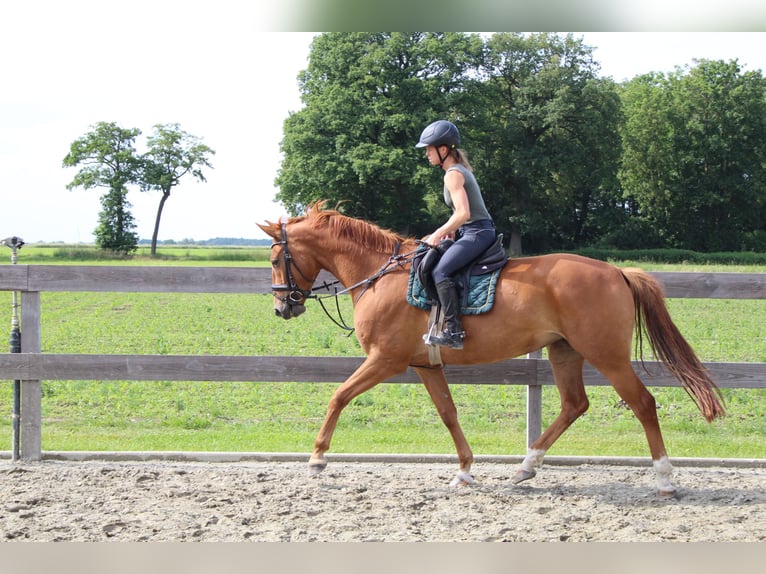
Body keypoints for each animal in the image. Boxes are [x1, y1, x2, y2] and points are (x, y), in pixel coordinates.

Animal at [258, 204, 728, 500]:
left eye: (278, 258)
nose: (283, 307)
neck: (380, 276)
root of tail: (616, 271)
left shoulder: (384, 360)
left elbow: (338, 395)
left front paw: (317, 458)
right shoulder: (424, 364)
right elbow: (449, 414)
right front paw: (465, 470)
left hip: (605, 355)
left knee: (643, 403)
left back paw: (665, 479)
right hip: (564, 352)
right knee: (574, 404)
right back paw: (526, 465)